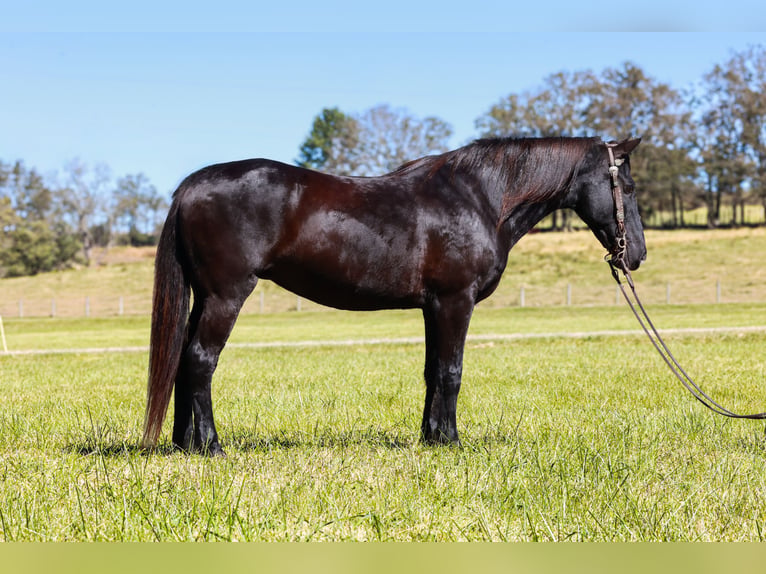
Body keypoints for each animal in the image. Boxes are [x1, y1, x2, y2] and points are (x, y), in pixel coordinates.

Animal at [141, 136, 645, 455]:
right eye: (629, 187)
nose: (635, 255)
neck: (479, 198)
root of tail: (193, 185)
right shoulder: (455, 301)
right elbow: (451, 372)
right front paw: (452, 442)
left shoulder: (434, 306)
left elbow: (431, 372)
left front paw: (431, 438)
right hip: (226, 296)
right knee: (201, 360)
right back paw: (211, 446)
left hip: (204, 298)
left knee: (184, 359)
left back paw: (184, 445)